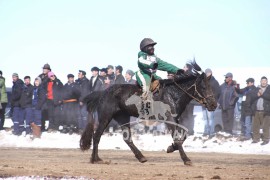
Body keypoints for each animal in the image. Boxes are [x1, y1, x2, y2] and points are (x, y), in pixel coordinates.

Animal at [79, 61, 216, 165]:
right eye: (203, 87)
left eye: (211, 87)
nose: (213, 105)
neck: (172, 93)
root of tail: (103, 93)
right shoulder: (169, 119)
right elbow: (177, 138)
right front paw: (186, 159)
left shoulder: (176, 119)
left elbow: (184, 135)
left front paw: (171, 148)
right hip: (105, 117)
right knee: (97, 136)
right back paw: (95, 159)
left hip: (123, 118)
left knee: (127, 139)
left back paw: (141, 157)